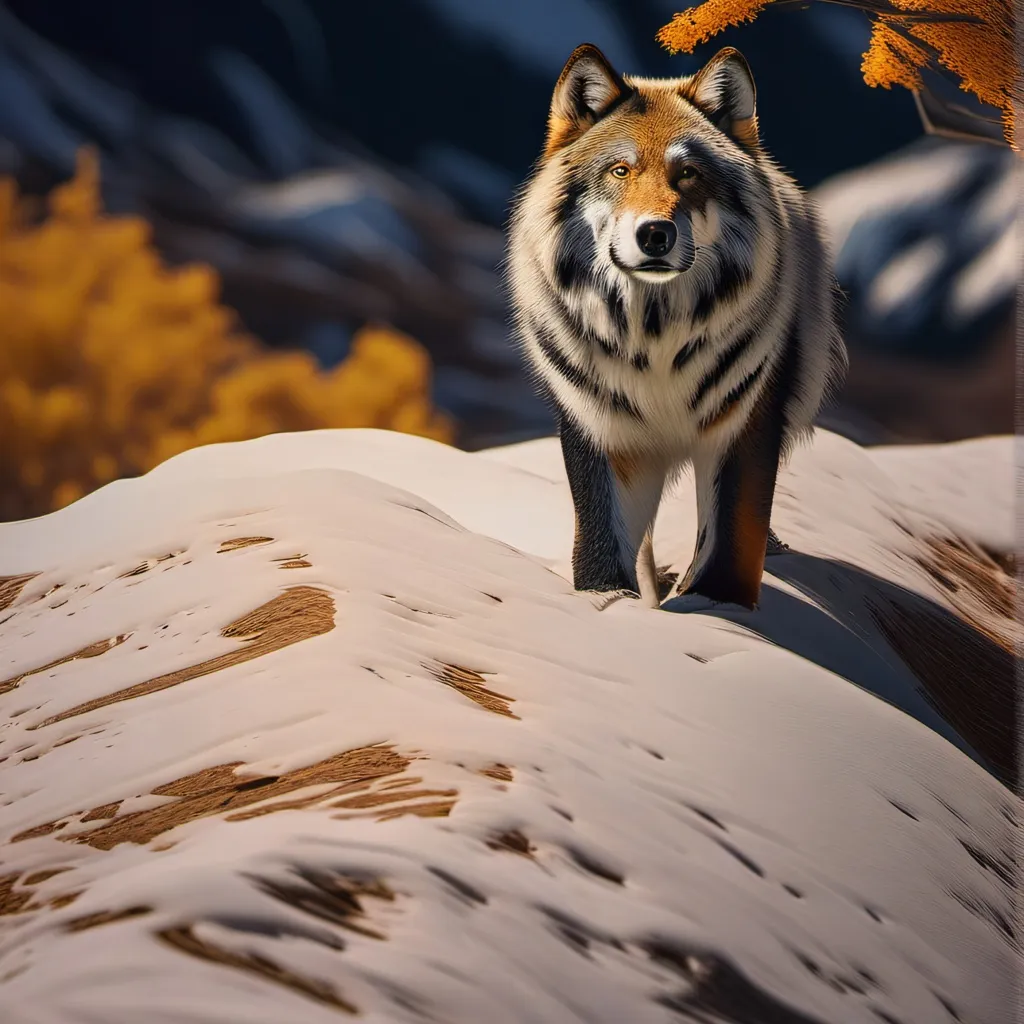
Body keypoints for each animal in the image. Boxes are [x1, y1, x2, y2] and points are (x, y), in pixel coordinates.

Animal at [507, 43, 847, 609]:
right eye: (620, 170)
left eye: (687, 173)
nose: (654, 234)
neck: (655, 336)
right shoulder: (601, 430)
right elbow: (601, 545)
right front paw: (610, 604)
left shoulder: (745, 424)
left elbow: (731, 544)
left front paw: (719, 608)